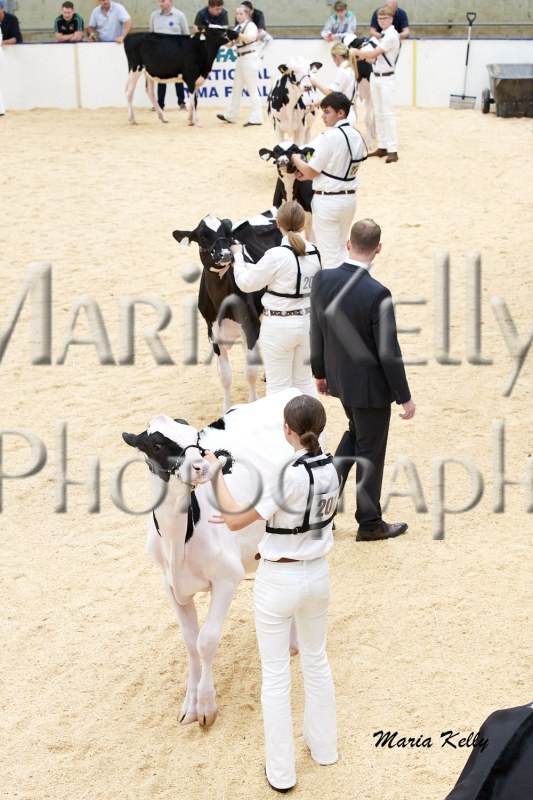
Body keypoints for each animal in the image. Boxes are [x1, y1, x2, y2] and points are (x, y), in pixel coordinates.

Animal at [122, 388, 299, 727]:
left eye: (196, 438)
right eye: (157, 445)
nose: (202, 467)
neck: (177, 542)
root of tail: (289, 393)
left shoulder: (227, 577)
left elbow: (206, 640)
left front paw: (205, 705)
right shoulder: (171, 586)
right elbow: (190, 641)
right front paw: (189, 704)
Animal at [173, 209, 282, 411]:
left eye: (227, 233)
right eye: (202, 236)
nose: (225, 254)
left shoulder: (250, 327)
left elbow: (250, 371)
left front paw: (253, 403)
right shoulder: (213, 334)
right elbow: (225, 376)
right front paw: (225, 409)